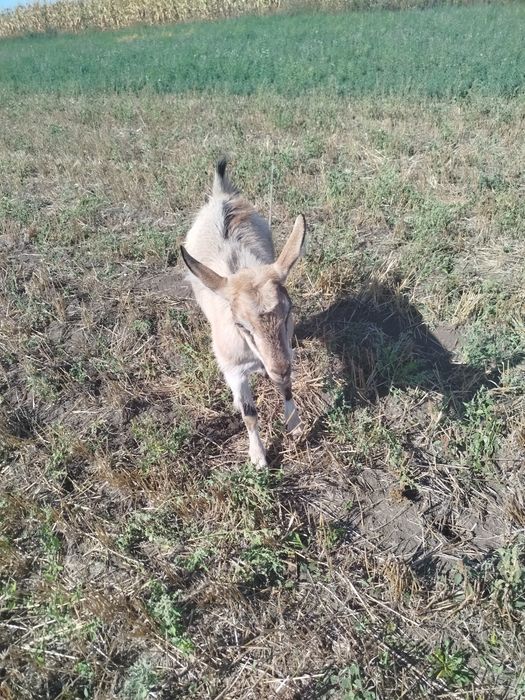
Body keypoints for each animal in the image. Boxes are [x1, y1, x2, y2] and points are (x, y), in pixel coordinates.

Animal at [180, 159, 306, 467]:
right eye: (241, 325)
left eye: (289, 312)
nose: (280, 367)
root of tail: (220, 195)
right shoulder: (234, 370)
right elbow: (249, 413)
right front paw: (258, 457)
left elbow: (286, 388)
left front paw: (295, 427)